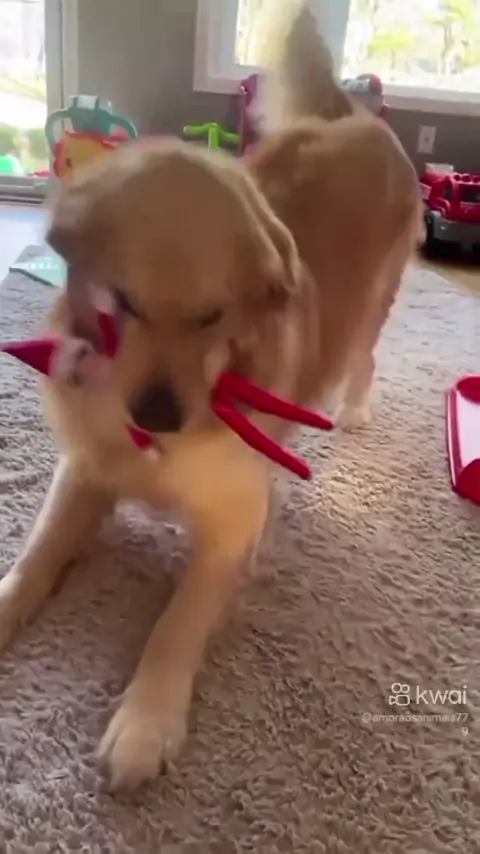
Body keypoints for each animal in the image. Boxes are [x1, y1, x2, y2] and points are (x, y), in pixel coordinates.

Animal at [0, 3, 420, 787]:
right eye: (123, 303)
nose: (157, 415)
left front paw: (145, 721)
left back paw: (352, 408)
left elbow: (178, 620)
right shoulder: (85, 471)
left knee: (365, 355)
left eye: (213, 316)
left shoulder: (229, 528)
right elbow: (36, 555)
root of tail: (352, 114)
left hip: (378, 303)